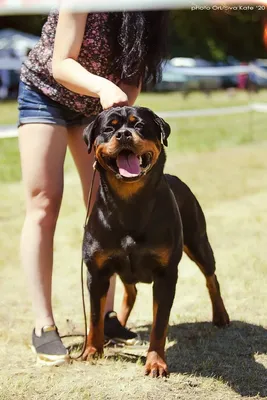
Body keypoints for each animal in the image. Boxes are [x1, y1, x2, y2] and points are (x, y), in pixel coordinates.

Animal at [82, 105, 230, 376]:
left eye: (139, 125)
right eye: (109, 128)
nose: (124, 134)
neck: (129, 203)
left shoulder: (165, 273)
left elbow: (160, 324)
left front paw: (156, 363)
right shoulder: (96, 272)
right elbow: (96, 316)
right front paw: (91, 351)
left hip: (198, 242)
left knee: (211, 277)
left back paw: (220, 315)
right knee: (130, 291)